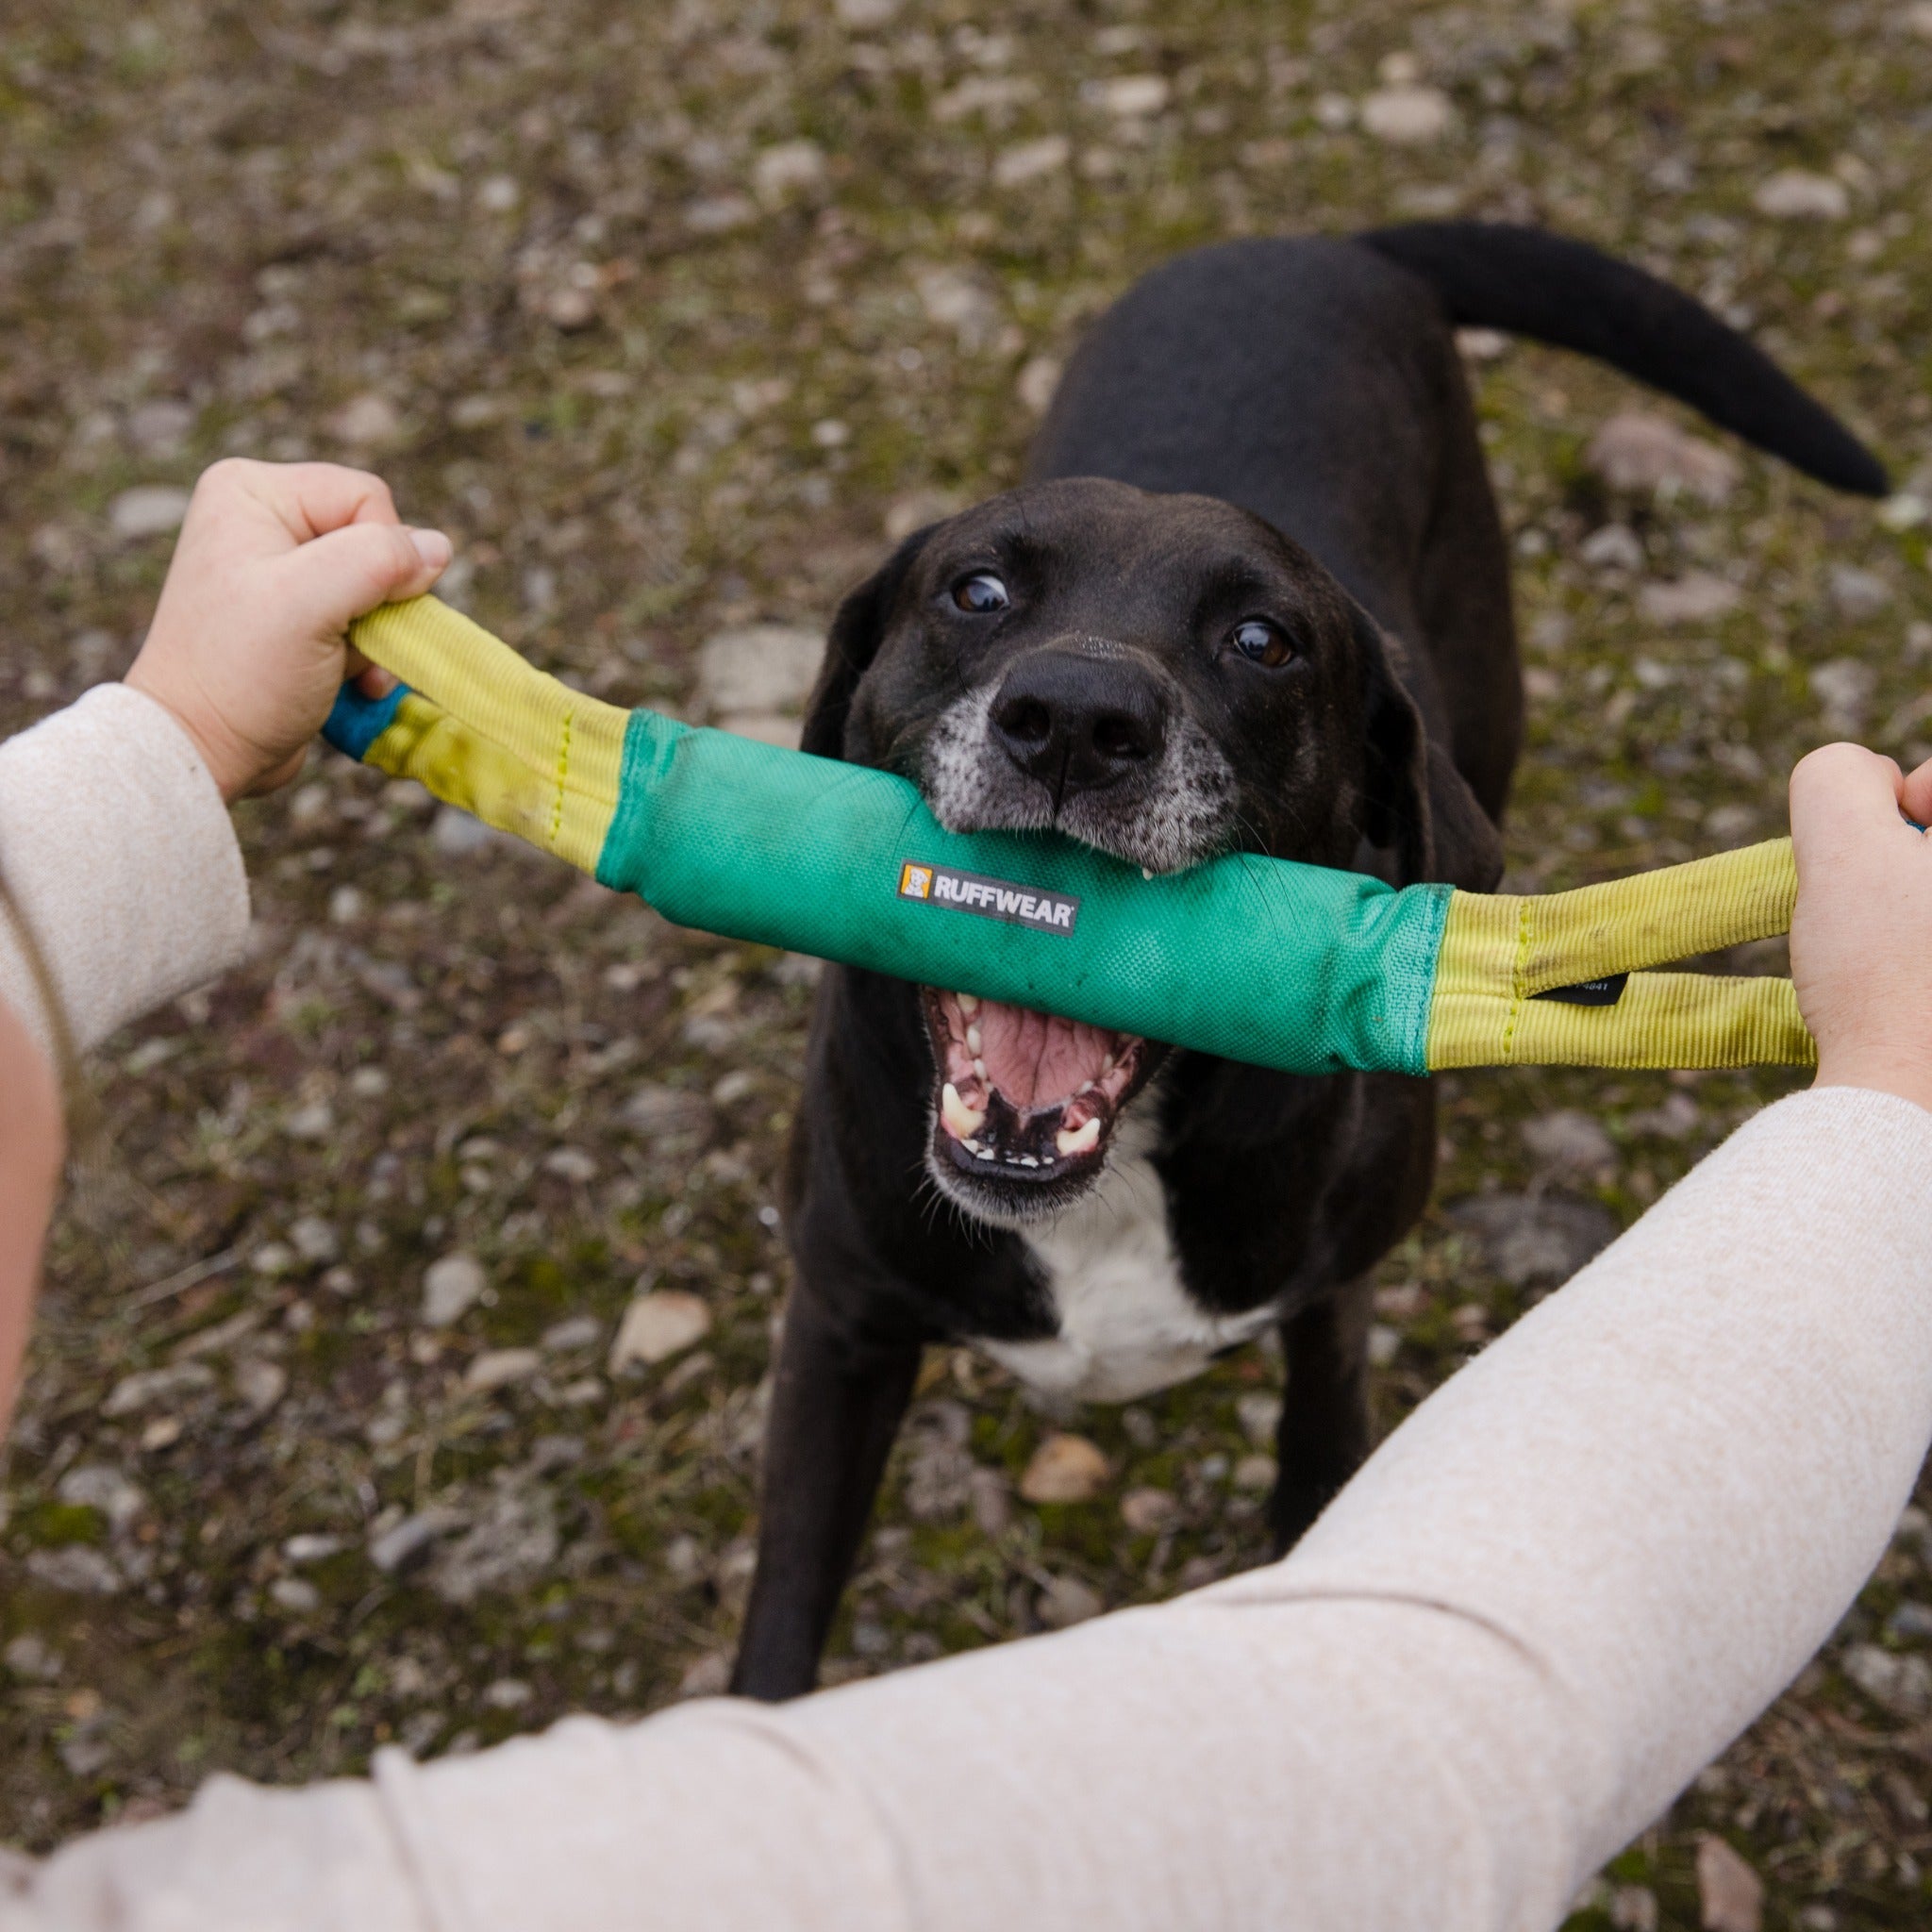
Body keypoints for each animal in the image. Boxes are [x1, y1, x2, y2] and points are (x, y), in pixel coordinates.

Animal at [726, 225, 1885, 1707]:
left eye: (1262, 641)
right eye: (974, 591)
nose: (1075, 718)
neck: (1106, 1189)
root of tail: (1334, 238)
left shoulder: (1333, 1300)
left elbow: (1322, 1449)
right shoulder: (839, 1325)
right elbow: (780, 1628)